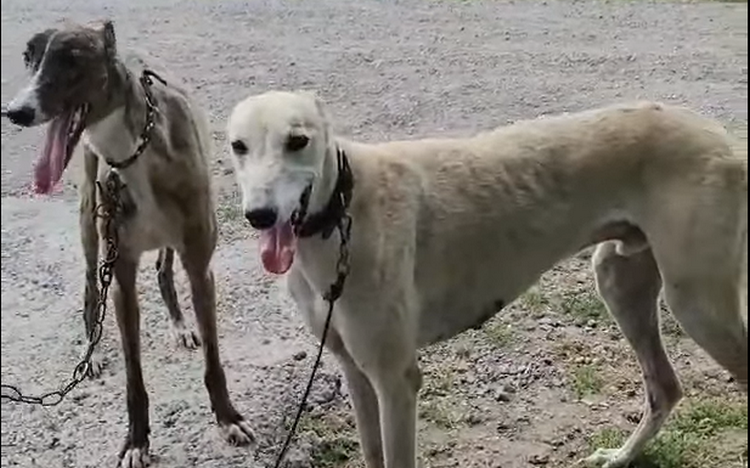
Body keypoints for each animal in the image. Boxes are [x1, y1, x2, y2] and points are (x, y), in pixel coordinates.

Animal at [2, 20, 258, 466]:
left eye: (71, 58)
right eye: (28, 56)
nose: (16, 112)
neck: (133, 151)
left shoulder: (200, 266)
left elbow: (213, 360)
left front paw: (228, 419)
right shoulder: (119, 277)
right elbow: (133, 378)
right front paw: (137, 441)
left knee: (163, 272)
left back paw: (179, 325)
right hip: (90, 226)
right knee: (90, 289)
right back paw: (91, 354)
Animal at [226, 91, 748, 468]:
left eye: (298, 140)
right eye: (238, 146)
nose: (259, 215)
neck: (342, 210)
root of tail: (726, 142)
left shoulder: (396, 380)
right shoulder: (354, 370)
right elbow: (372, 451)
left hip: (697, 303)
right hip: (621, 280)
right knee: (665, 387)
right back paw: (620, 457)